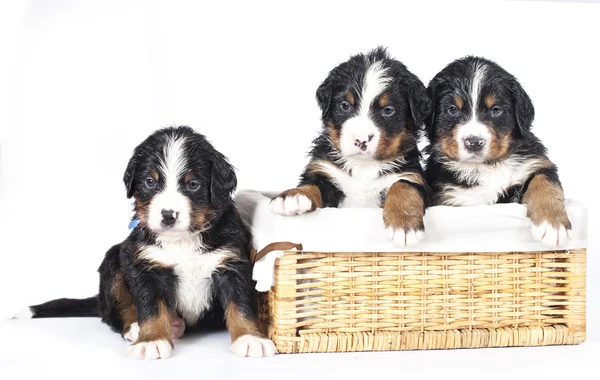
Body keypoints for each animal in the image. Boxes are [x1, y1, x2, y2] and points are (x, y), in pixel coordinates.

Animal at [14, 127, 276, 360]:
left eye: (193, 185)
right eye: (150, 181)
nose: (168, 215)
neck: (182, 240)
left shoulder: (231, 263)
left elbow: (240, 305)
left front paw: (250, 339)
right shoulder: (145, 266)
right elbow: (151, 308)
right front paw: (151, 341)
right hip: (114, 260)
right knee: (114, 314)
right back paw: (142, 327)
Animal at [424, 55, 568, 246]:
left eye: (496, 110)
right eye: (452, 109)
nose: (474, 142)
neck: (487, 167)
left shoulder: (537, 164)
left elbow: (544, 183)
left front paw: (552, 224)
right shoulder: (452, 197)